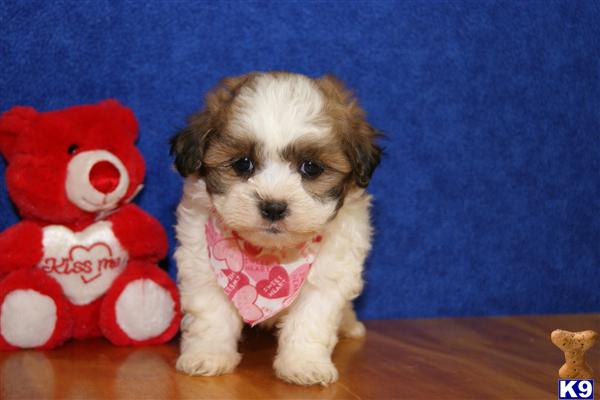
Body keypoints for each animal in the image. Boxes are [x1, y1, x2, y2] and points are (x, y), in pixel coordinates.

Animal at [171, 72, 382, 384]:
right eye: (243, 164)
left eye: (311, 167)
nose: (273, 206)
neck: (270, 254)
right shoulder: (201, 264)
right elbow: (211, 314)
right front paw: (208, 355)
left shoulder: (329, 274)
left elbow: (311, 318)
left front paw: (304, 364)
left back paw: (350, 324)